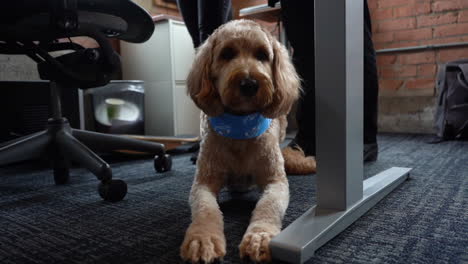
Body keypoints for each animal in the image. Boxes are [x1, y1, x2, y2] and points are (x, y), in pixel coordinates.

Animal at [181, 19, 312, 262]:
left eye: (262, 55)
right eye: (227, 54)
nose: (249, 83)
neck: (240, 127)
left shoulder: (275, 181)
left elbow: (268, 206)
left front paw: (260, 236)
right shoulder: (203, 182)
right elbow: (205, 209)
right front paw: (203, 238)